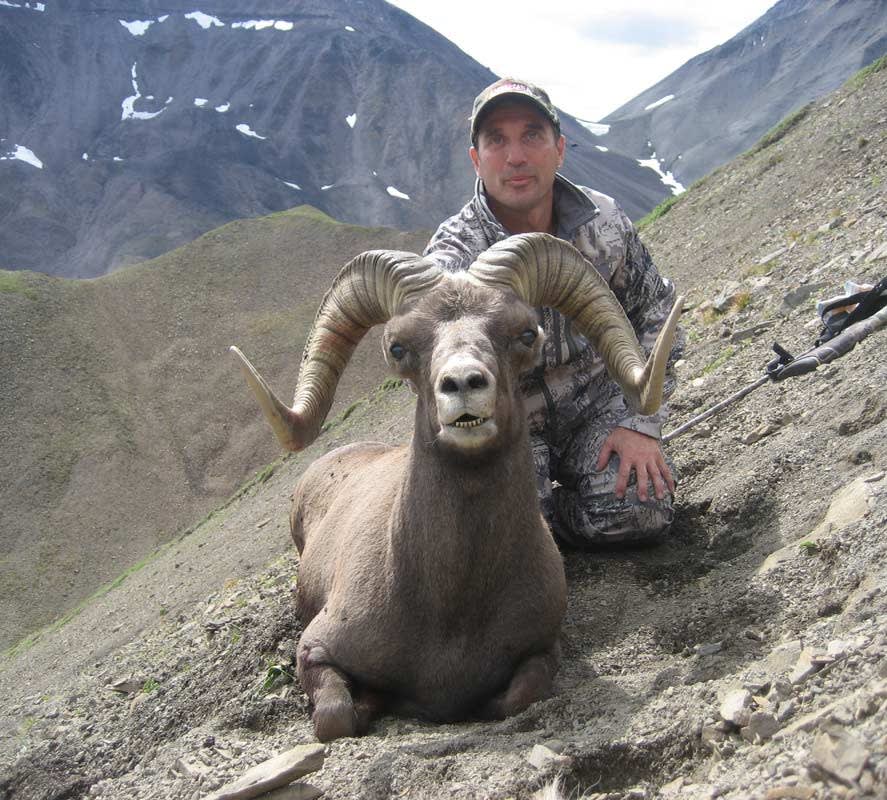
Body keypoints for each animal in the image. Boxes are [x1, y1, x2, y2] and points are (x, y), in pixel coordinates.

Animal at [230, 232, 682, 741]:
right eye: (398, 347)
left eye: (527, 334)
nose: (463, 383)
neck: (452, 609)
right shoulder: (316, 649)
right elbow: (336, 717)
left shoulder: (542, 652)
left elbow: (516, 696)